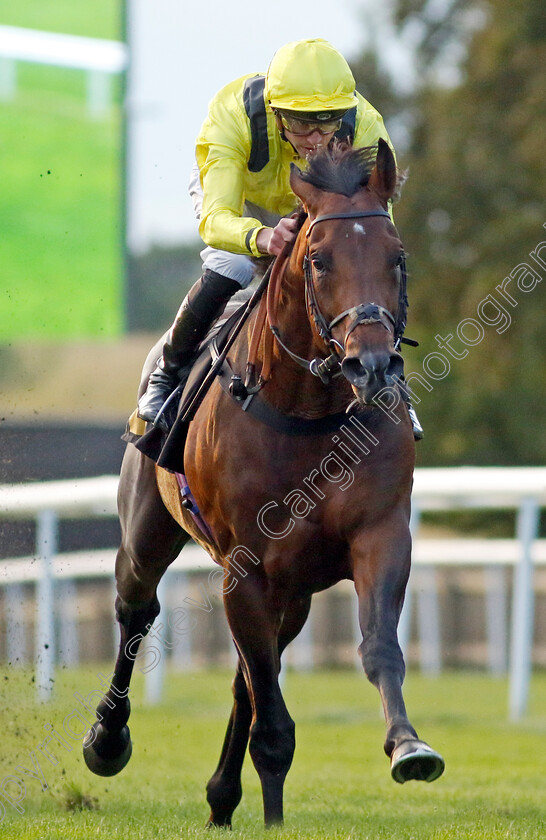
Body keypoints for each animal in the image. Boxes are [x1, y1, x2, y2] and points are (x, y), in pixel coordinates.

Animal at [84, 139, 442, 828]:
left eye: (398, 257)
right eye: (320, 260)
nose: (373, 365)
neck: (308, 411)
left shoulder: (378, 535)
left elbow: (375, 646)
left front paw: (409, 746)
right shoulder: (244, 565)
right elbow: (269, 715)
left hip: (293, 591)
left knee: (250, 673)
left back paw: (222, 798)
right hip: (148, 533)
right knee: (138, 610)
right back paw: (108, 741)